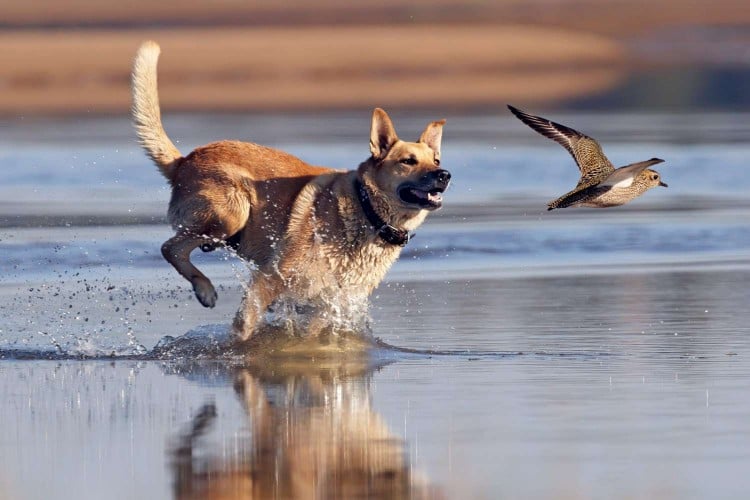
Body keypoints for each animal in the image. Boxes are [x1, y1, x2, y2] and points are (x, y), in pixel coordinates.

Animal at [131, 42, 452, 340]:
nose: (445, 175)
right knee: (170, 247)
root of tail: (184, 160)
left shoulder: (328, 303)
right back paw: (205, 289)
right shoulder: (271, 278)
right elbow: (244, 327)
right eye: (408, 161)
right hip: (233, 212)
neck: (367, 211)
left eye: (436, 160)